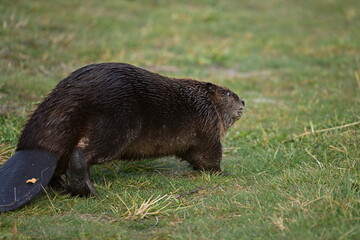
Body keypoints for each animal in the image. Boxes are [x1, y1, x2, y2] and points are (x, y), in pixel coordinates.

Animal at [7, 62, 245, 199]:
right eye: (229, 94)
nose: (243, 101)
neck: (202, 101)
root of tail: (35, 151)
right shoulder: (208, 125)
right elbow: (209, 155)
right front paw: (225, 172)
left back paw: (63, 185)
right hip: (117, 125)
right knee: (81, 153)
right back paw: (88, 191)